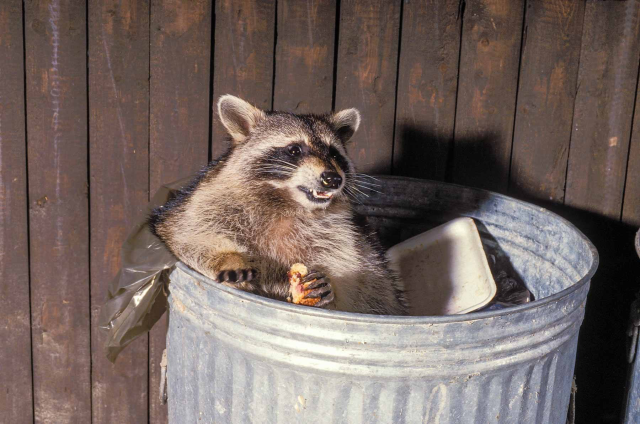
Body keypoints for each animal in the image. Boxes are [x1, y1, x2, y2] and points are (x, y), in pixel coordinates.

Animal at [151, 95, 404, 314]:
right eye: (294, 150)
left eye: (334, 153)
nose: (333, 179)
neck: (286, 201)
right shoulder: (204, 199)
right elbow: (186, 235)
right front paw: (226, 257)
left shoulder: (345, 236)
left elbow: (352, 282)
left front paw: (330, 292)